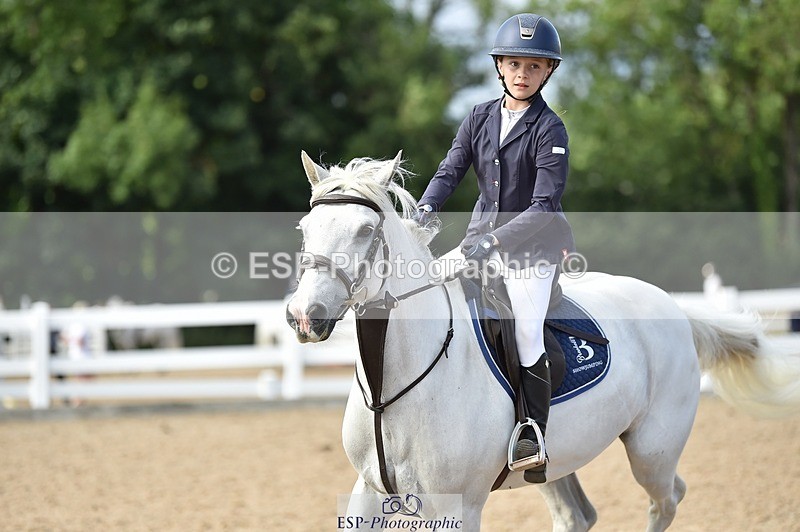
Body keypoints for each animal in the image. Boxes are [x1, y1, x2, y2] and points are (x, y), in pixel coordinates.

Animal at [285, 152, 800, 531]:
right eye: (305, 230)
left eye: (365, 231)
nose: (305, 317)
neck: (393, 385)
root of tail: (674, 307)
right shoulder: (367, 490)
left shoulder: (456, 507)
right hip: (553, 460)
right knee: (579, 516)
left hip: (652, 449)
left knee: (667, 499)